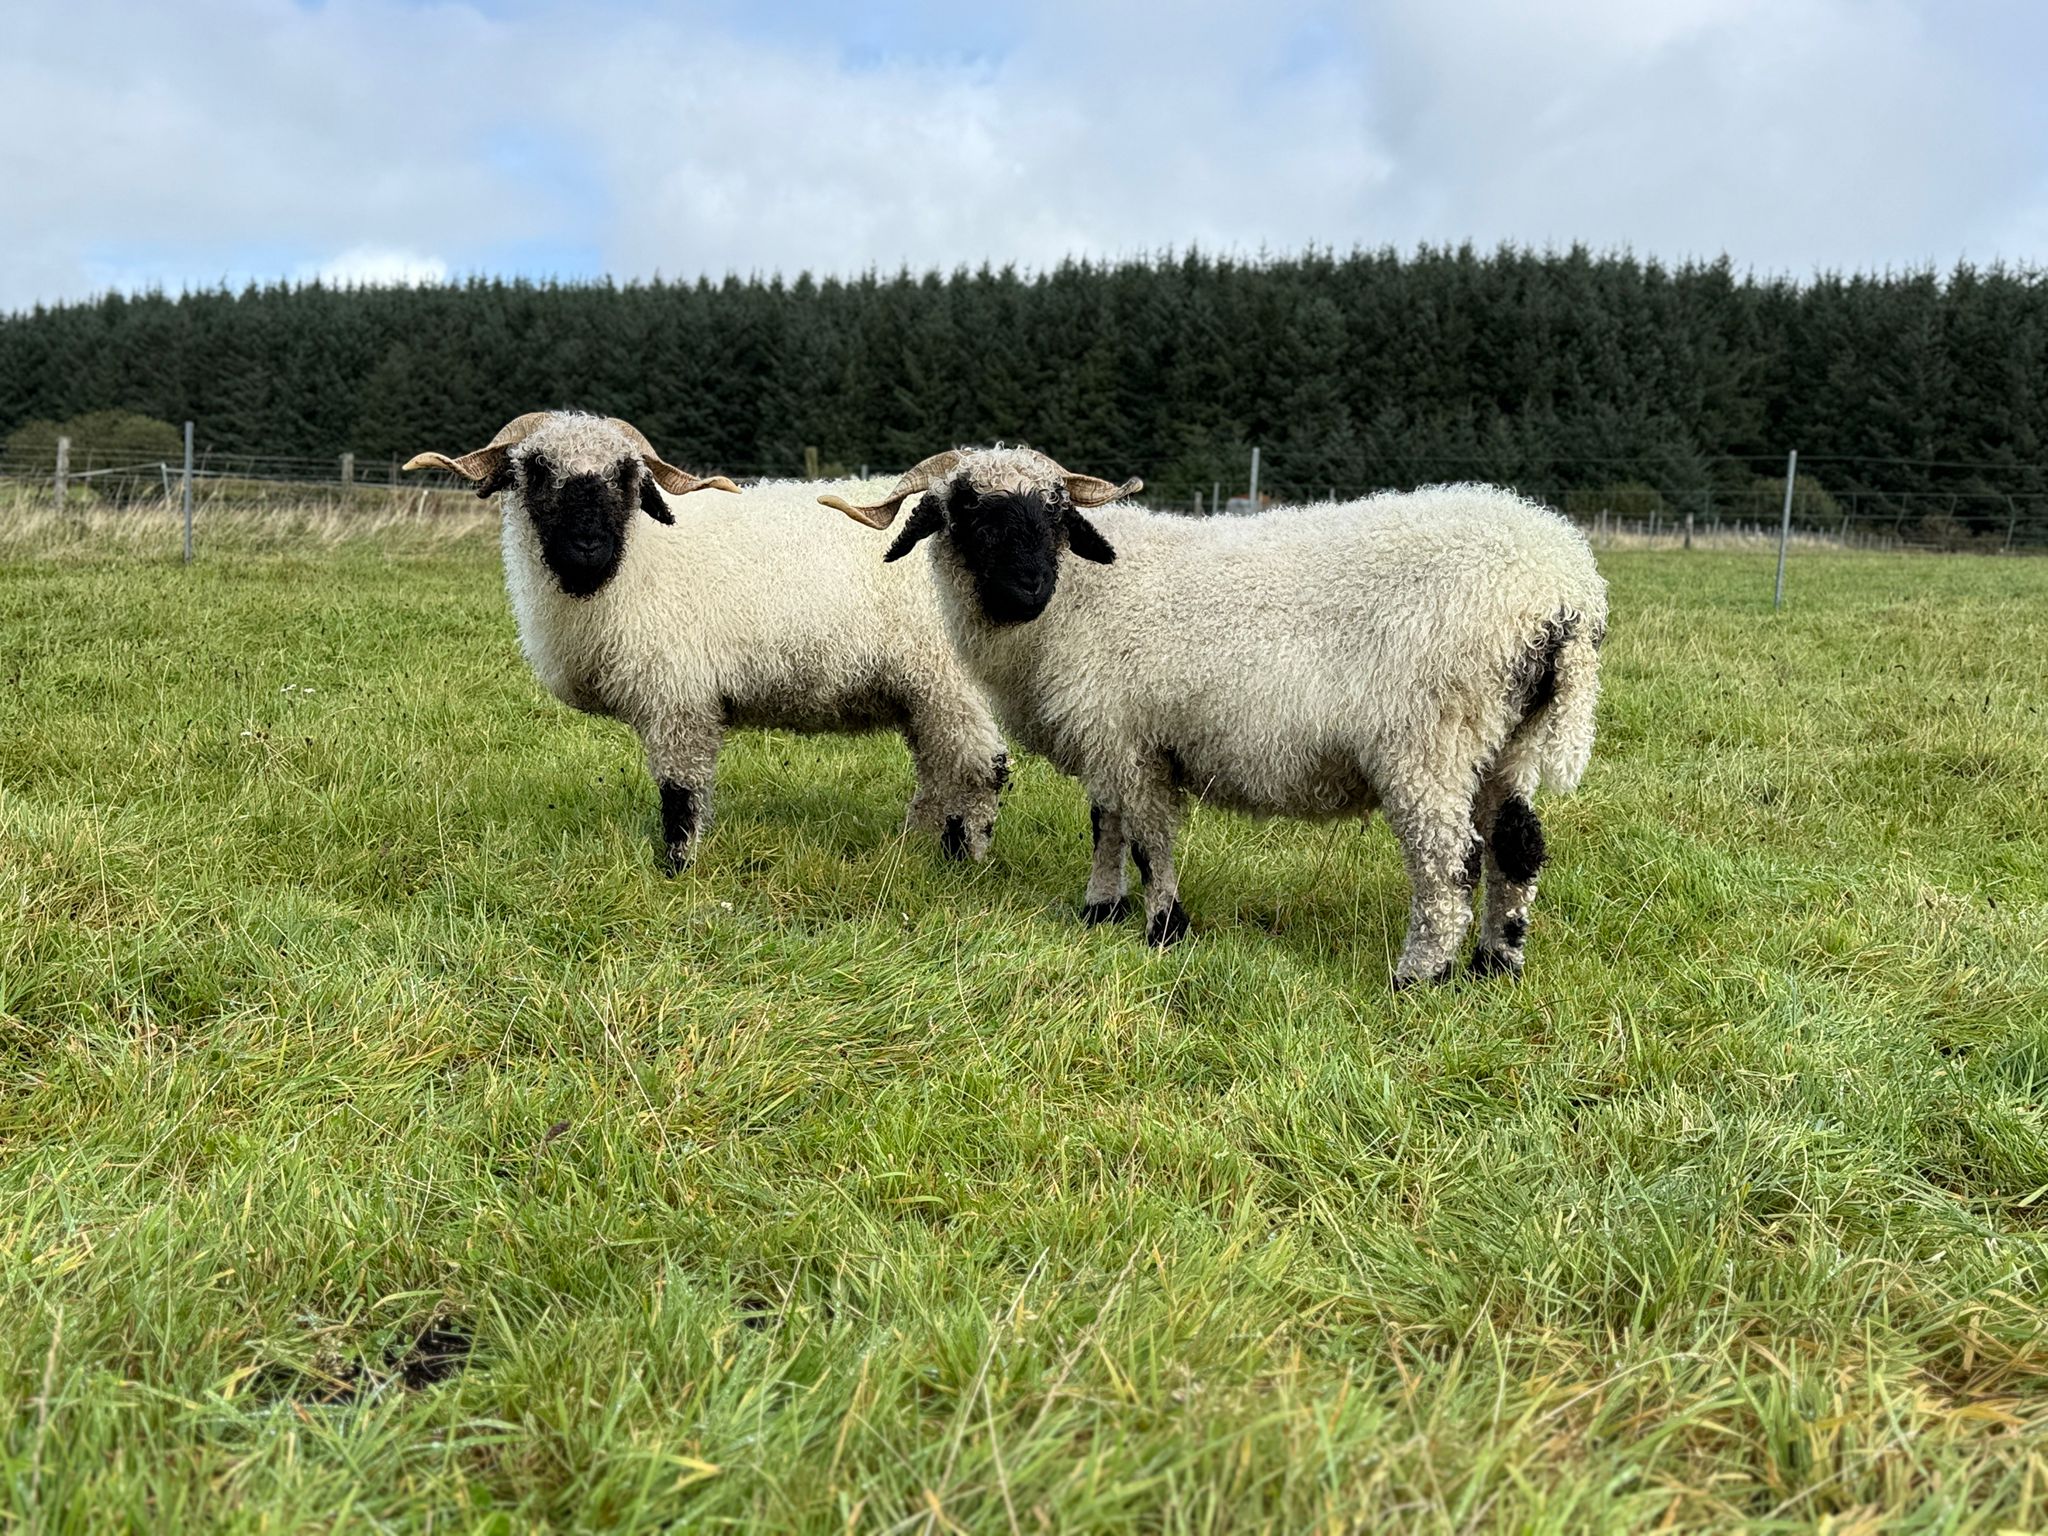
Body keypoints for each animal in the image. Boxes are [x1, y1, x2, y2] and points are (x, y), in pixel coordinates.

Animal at [405, 413, 1008, 872]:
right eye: (535, 468)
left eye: (626, 474)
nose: (587, 546)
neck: (631, 563)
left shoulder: (681, 696)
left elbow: (681, 791)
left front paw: (676, 867)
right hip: (925, 693)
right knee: (941, 769)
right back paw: (914, 846)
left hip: (952, 682)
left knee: (983, 770)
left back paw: (962, 858)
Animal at [823, 448, 1606, 988]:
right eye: (968, 513)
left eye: (1053, 515)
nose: (1028, 589)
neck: (1079, 598)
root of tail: (1563, 591)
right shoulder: (1110, 735)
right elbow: (1106, 825)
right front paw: (1099, 910)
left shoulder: (1130, 736)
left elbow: (1149, 839)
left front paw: (1164, 929)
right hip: (1506, 740)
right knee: (1517, 845)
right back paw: (1496, 965)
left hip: (1429, 739)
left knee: (1450, 861)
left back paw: (1420, 976)